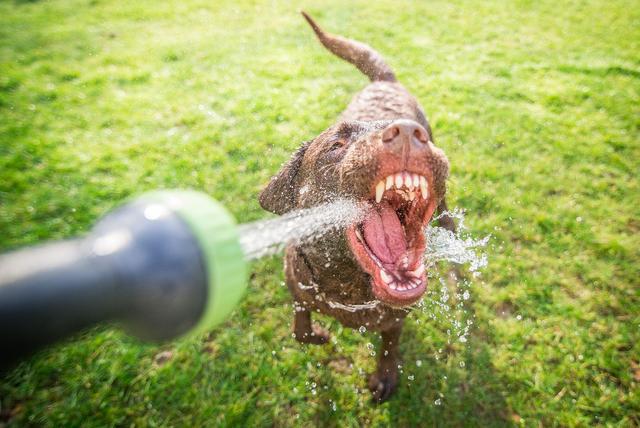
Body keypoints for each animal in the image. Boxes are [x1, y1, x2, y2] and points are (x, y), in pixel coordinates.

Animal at [258, 12, 450, 402]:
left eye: (413, 131)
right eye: (336, 143)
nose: (408, 133)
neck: (349, 286)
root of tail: (384, 80)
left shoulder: (397, 317)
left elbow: (390, 345)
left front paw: (385, 378)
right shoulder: (295, 283)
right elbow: (300, 328)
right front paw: (319, 335)